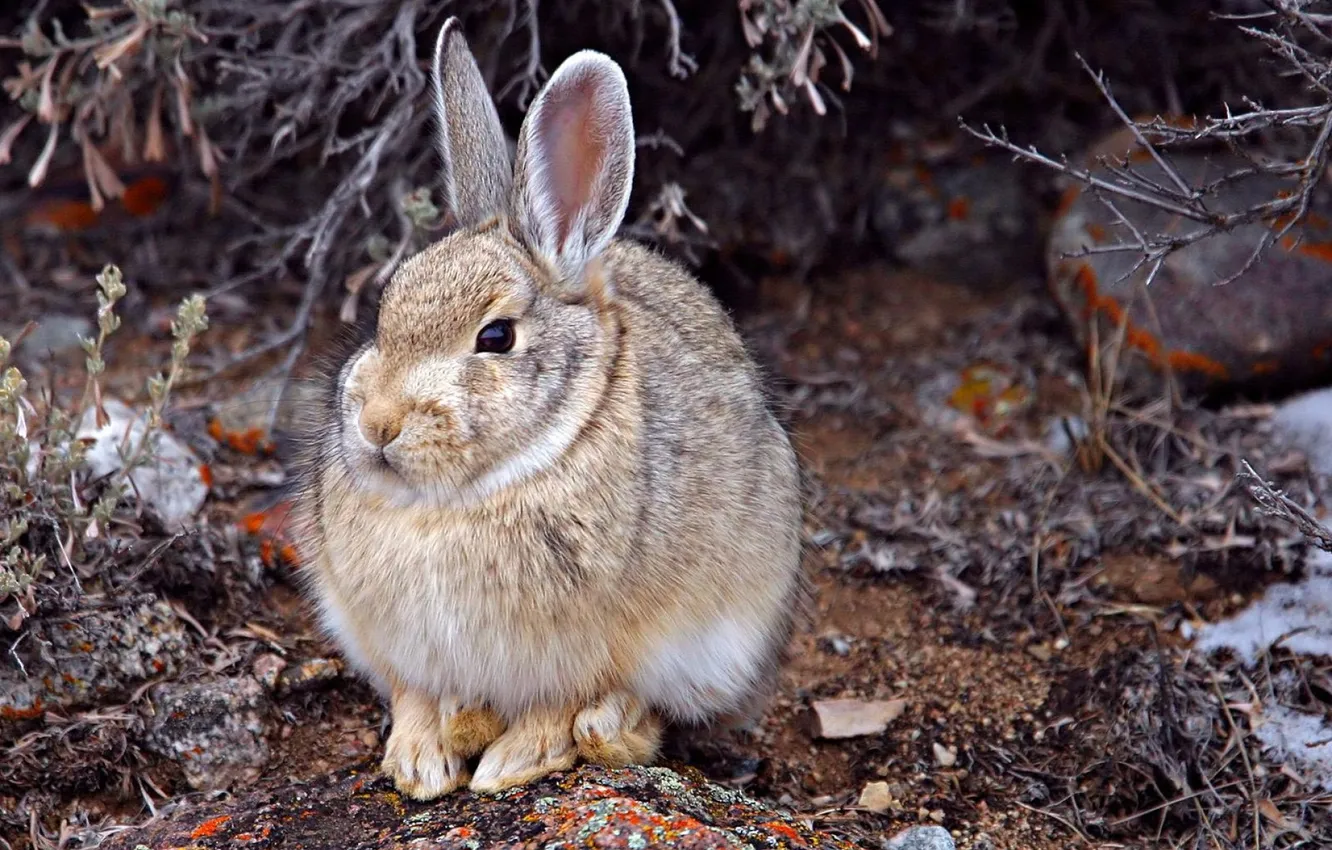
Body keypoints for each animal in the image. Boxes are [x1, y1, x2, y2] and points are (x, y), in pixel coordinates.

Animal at [293, 18, 804, 804]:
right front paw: (418, 764)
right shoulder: (396, 644)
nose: (378, 425)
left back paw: (600, 730)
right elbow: (413, 696)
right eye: (384, 312)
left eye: (496, 337)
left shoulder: (586, 649)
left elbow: (555, 705)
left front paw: (510, 765)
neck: (456, 502)